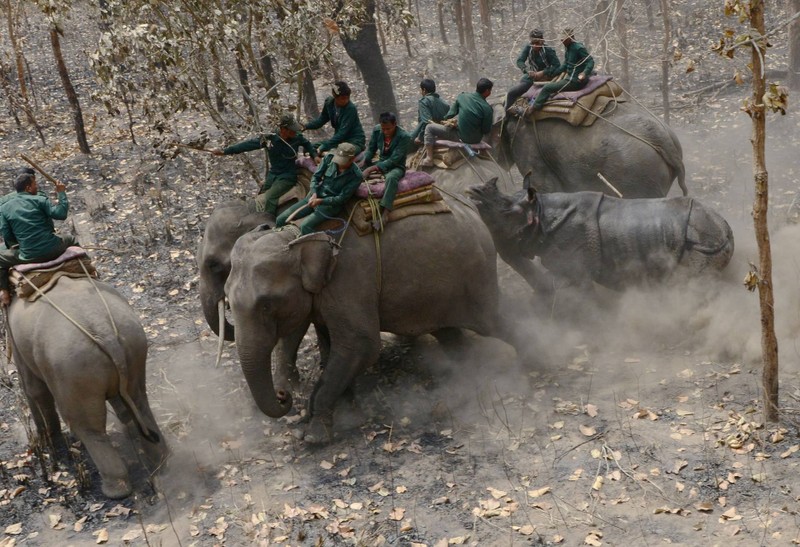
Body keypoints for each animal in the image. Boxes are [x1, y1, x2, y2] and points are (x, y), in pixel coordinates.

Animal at [7, 278, 168, 500]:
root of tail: (105, 332)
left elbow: (34, 389)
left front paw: (48, 443)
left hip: (73, 370)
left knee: (86, 425)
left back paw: (114, 491)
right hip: (134, 348)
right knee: (139, 401)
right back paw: (160, 459)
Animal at [223, 197, 506, 446]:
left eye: (267, 304)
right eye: (227, 299)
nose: (284, 395)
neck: (297, 235)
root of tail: (471, 209)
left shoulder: (350, 281)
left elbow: (361, 345)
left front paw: (313, 437)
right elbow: (333, 345)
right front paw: (347, 411)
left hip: (475, 274)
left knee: (495, 321)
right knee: (448, 333)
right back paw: (466, 378)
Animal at [466, 179, 736, 292]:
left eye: (505, 209)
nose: (472, 192)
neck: (541, 212)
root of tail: (726, 228)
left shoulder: (576, 267)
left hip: (703, 244)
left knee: (692, 283)